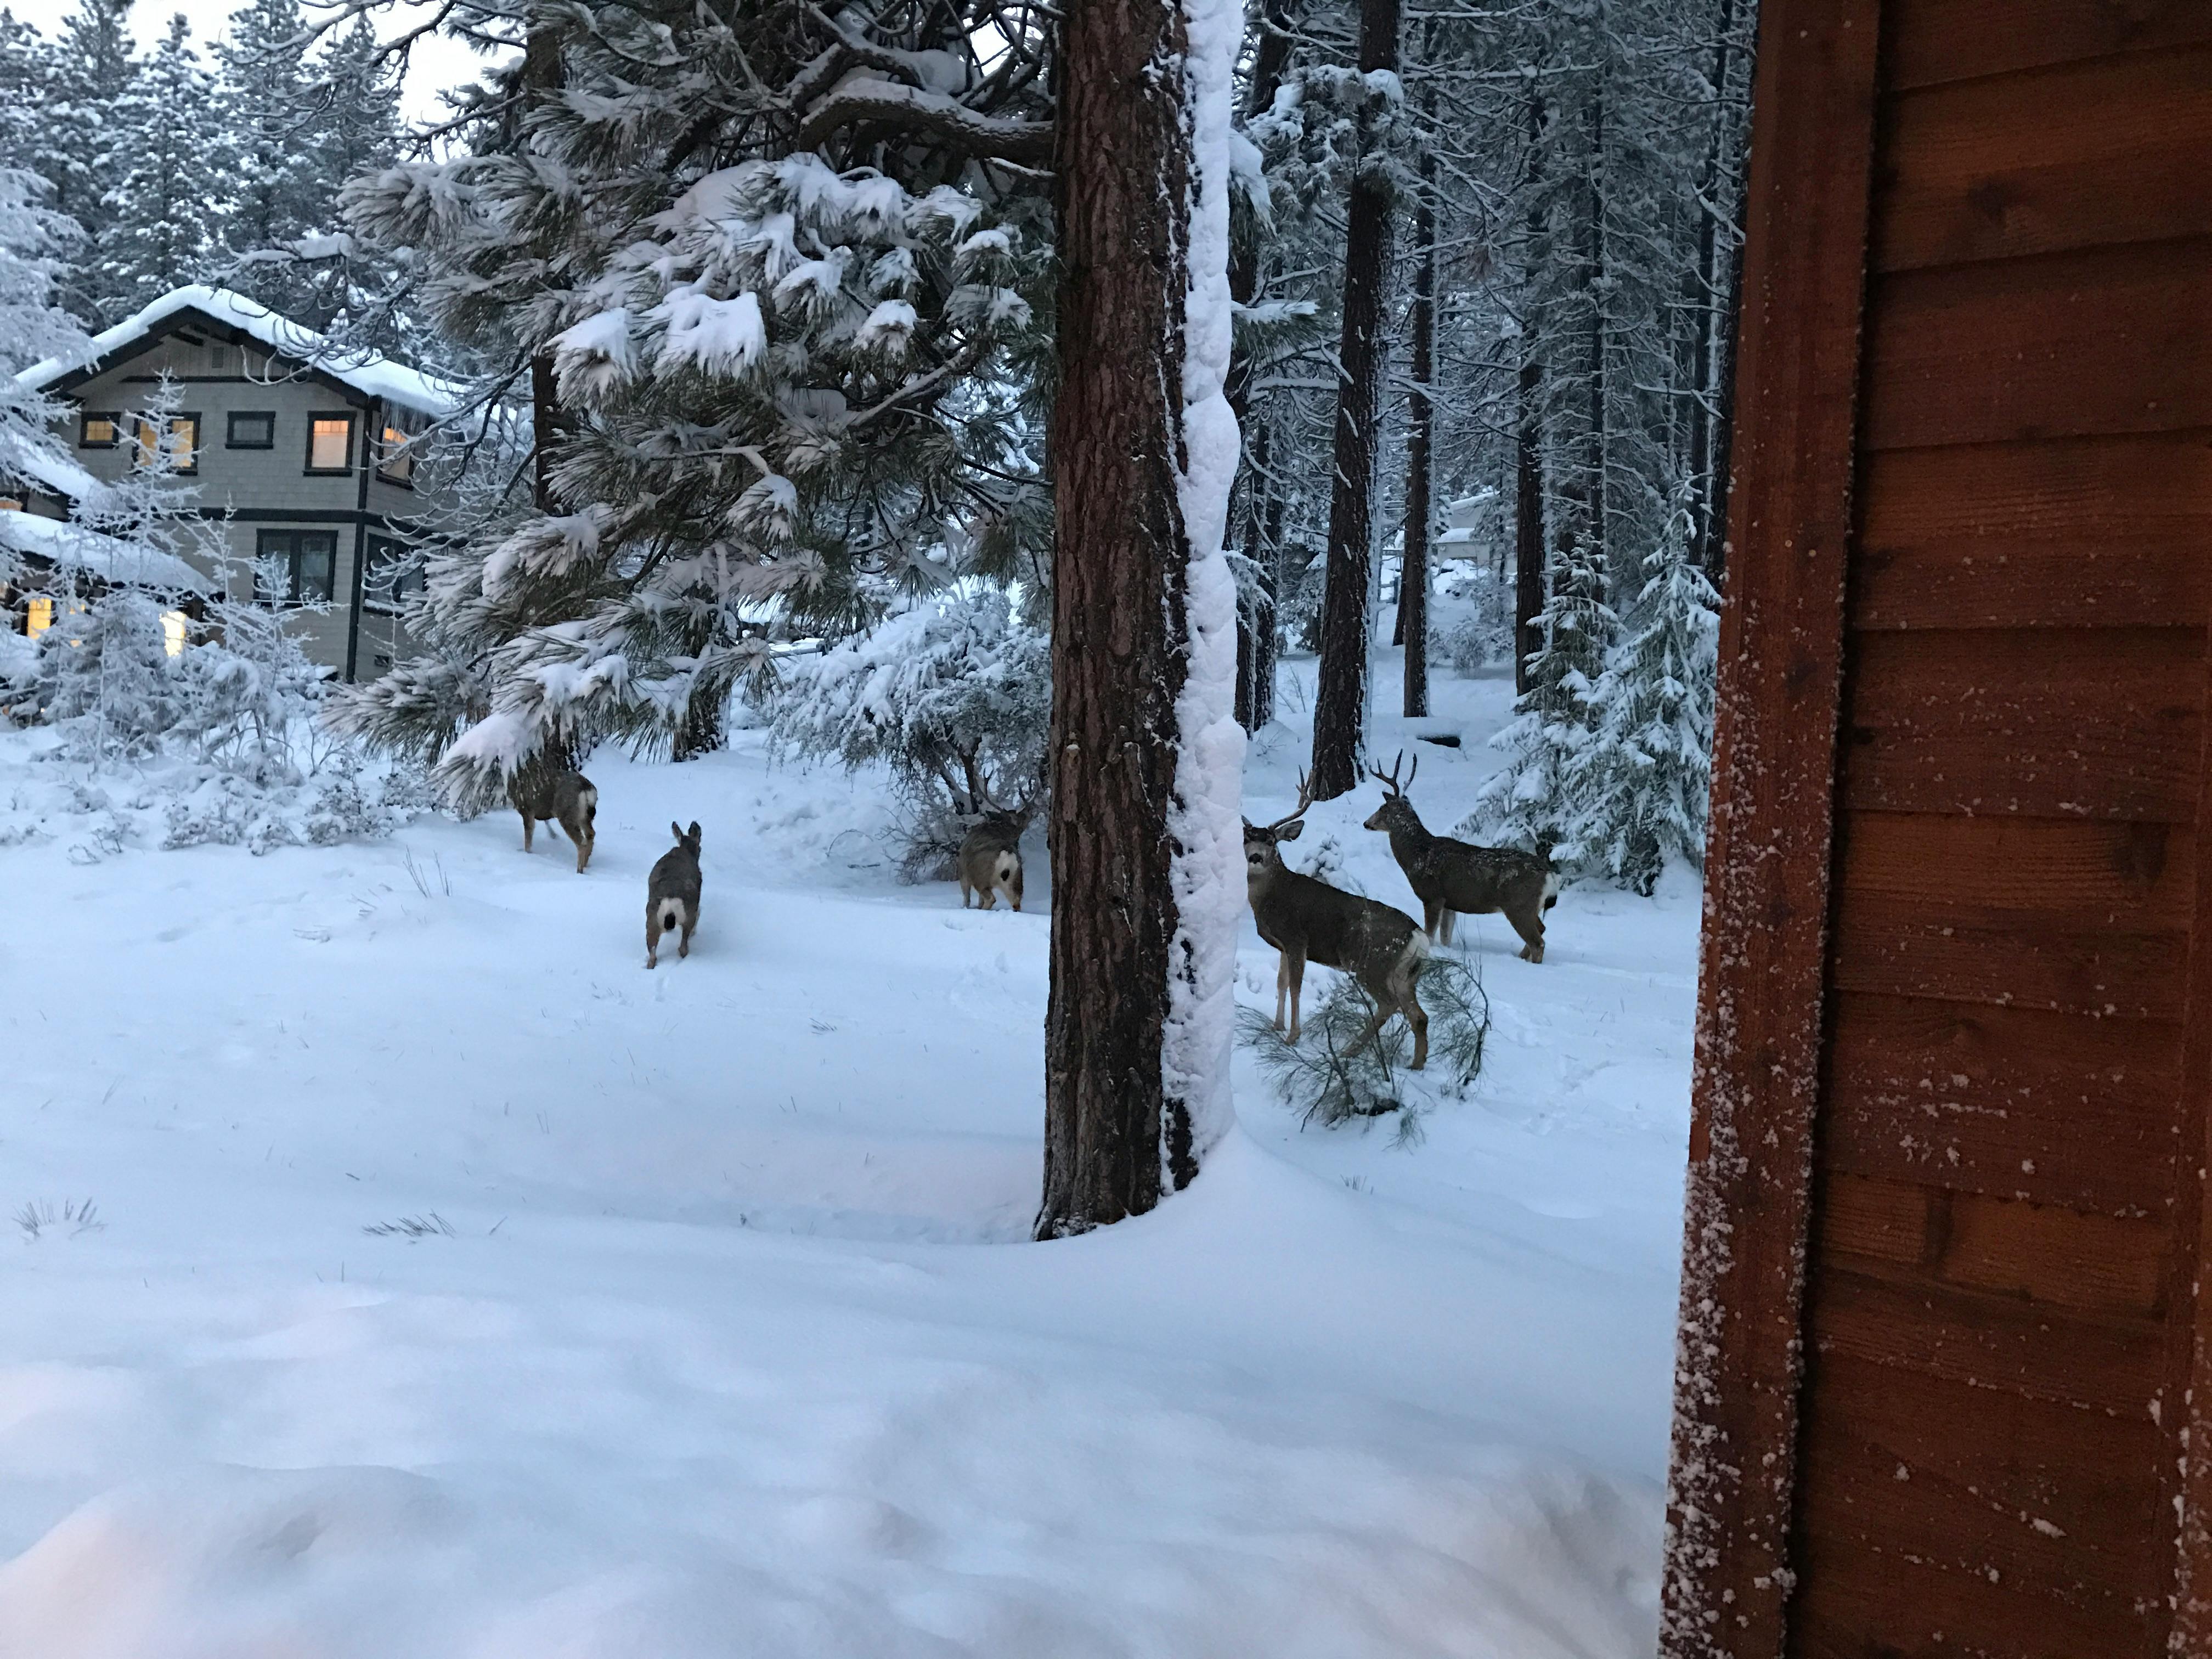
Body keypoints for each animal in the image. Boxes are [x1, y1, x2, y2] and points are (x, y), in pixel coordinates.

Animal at [509, 765, 597, 871]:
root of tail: (587, 789)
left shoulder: (527, 810)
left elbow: (528, 840)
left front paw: (527, 853)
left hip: (567, 814)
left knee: (582, 842)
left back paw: (579, 870)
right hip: (584, 817)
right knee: (591, 834)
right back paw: (586, 865)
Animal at [1248, 774, 1433, 1070]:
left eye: (1271, 841)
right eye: (1247, 838)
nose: (1255, 857)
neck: (1273, 896)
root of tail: (1418, 935)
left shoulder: (1298, 939)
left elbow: (1295, 987)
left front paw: (1292, 1037)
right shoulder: (1283, 946)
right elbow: (1281, 982)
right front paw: (1276, 1027)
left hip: (1370, 962)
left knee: (1389, 1005)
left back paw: (1350, 1051)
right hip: (1404, 974)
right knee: (1419, 1016)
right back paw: (1416, 1065)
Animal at [1353, 752, 1566, 960]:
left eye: (1383, 809)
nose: (1366, 823)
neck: (1418, 856)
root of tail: (1550, 874)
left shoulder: (1433, 896)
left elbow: (1430, 935)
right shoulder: (1450, 903)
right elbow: (1445, 937)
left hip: (1519, 905)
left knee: (1538, 943)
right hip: (1531, 907)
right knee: (1541, 930)